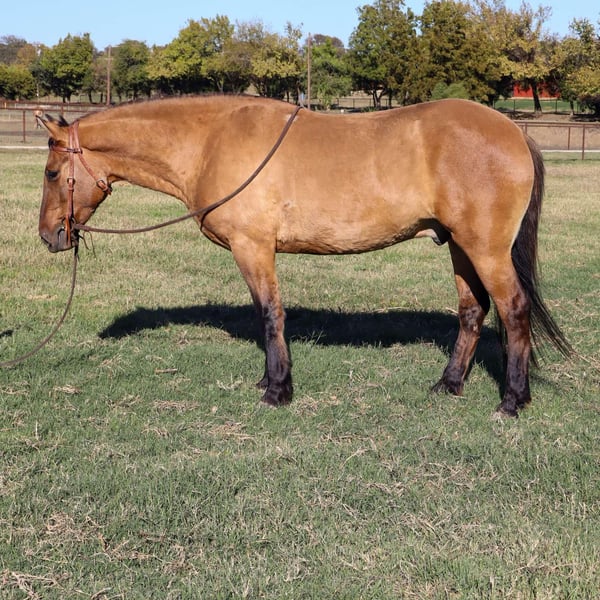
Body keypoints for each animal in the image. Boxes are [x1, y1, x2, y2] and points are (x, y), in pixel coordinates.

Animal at [37, 95, 571, 416]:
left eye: (50, 172)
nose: (49, 236)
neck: (212, 141)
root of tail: (514, 132)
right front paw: (269, 382)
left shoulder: (253, 248)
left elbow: (270, 314)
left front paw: (277, 389)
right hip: (460, 246)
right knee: (472, 311)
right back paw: (449, 383)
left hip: (485, 249)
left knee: (514, 310)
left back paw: (512, 399)